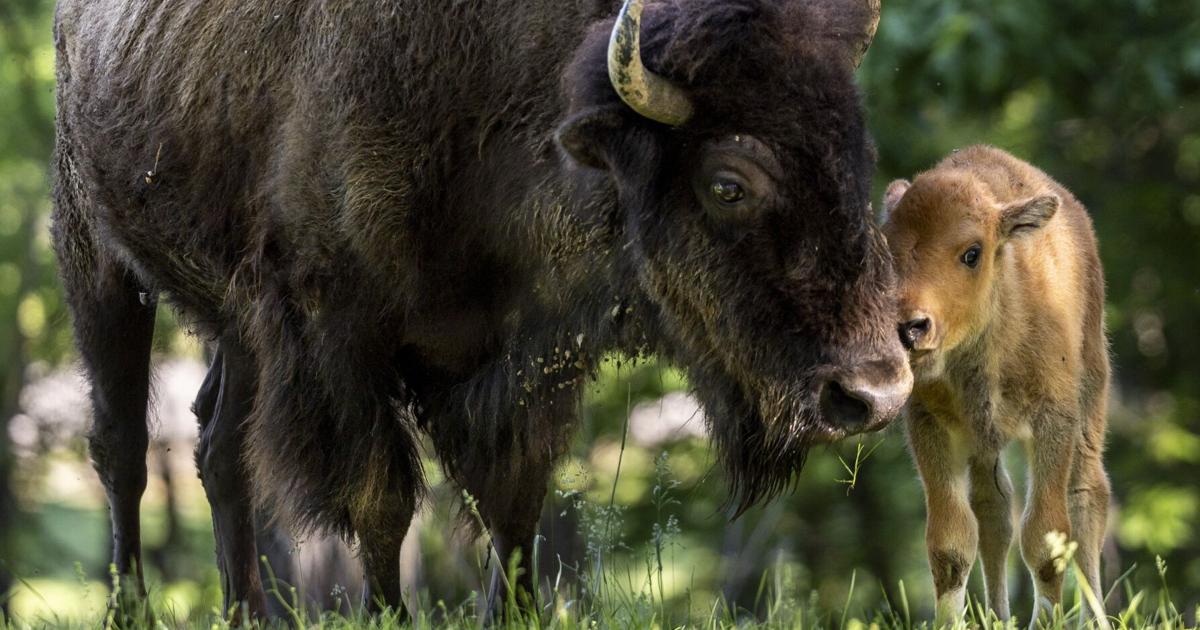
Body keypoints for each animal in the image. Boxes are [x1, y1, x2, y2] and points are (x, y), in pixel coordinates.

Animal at [51, 0, 911, 620]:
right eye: (728, 182)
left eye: (857, 156)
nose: (873, 393)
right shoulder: (339, 341)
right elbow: (383, 504)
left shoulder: (528, 360)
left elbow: (514, 508)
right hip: (94, 259)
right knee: (121, 446)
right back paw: (129, 610)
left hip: (236, 325)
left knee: (217, 448)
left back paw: (248, 616)